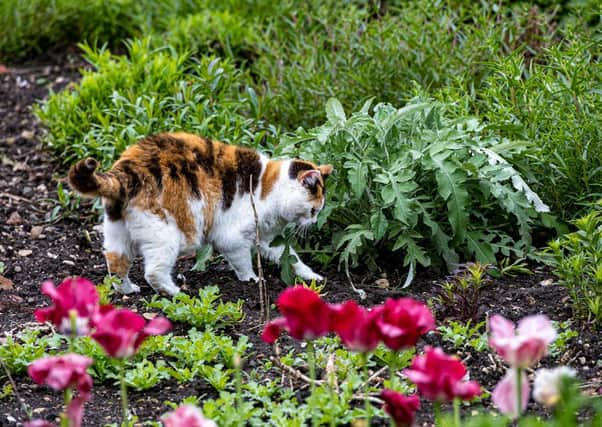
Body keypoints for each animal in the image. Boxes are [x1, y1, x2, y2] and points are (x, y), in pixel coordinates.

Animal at [70, 132, 332, 296]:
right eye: (314, 209)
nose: (315, 221)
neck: (267, 188)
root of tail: (125, 169)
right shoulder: (233, 237)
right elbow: (242, 261)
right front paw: (251, 279)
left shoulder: (265, 239)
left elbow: (290, 257)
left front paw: (311, 275)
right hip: (165, 235)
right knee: (153, 272)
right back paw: (175, 292)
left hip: (118, 233)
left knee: (115, 264)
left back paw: (127, 289)